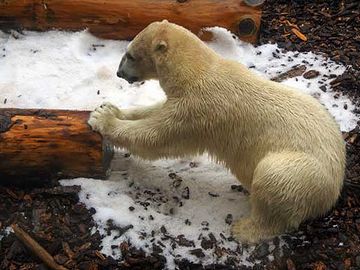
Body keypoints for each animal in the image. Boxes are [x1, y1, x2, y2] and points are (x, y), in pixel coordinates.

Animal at [87, 20, 346, 243]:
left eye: (130, 54)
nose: (119, 73)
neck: (197, 70)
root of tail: (336, 183)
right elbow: (156, 111)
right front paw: (110, 108)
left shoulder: (199, 109)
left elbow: (159, 136)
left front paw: (102, 119)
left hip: (303, 173)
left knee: (274, 178)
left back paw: (244, 229)